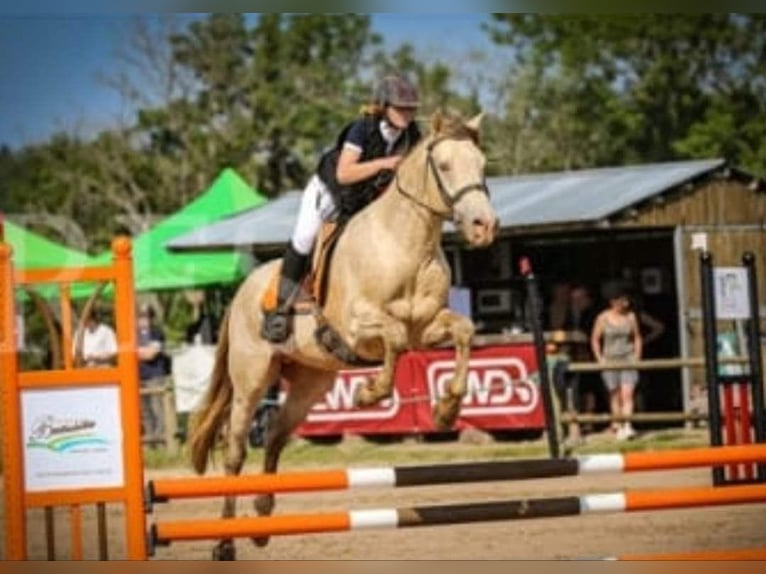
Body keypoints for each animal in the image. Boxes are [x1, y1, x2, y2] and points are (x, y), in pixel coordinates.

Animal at [190, 109, 500, 564]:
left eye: (481, 165)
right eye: (444, 166)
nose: (484, 227)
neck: (406, 245)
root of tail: (242, 291)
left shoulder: (426, 328)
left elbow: (463, 331)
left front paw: (445, 411)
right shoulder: (357, 327)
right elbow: (392, 337)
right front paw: (369, 394)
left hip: (310, 383)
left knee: (276, 437)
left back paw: (262, 522)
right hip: (251, 380)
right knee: (235, 451)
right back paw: (225, 542)